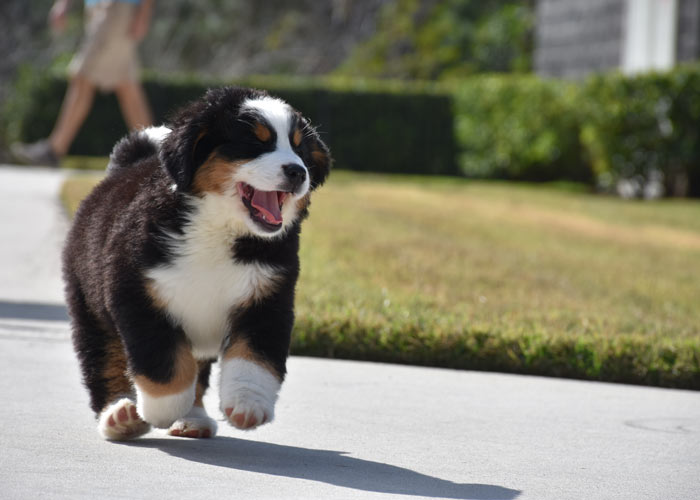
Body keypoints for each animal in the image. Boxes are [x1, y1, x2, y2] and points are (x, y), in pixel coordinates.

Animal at [63, 88, 330, 440]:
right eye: (255, 142)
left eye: (300, 149)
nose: (298, 171)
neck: (218, 228)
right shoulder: (137, 294)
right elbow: (163, 363)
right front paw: (161, 409)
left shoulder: (267, 300)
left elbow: (254, 358)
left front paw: (247, 404)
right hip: (89, 307)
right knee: (104, 361)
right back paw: (119, 416)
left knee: (198, 374)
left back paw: (193, 419)